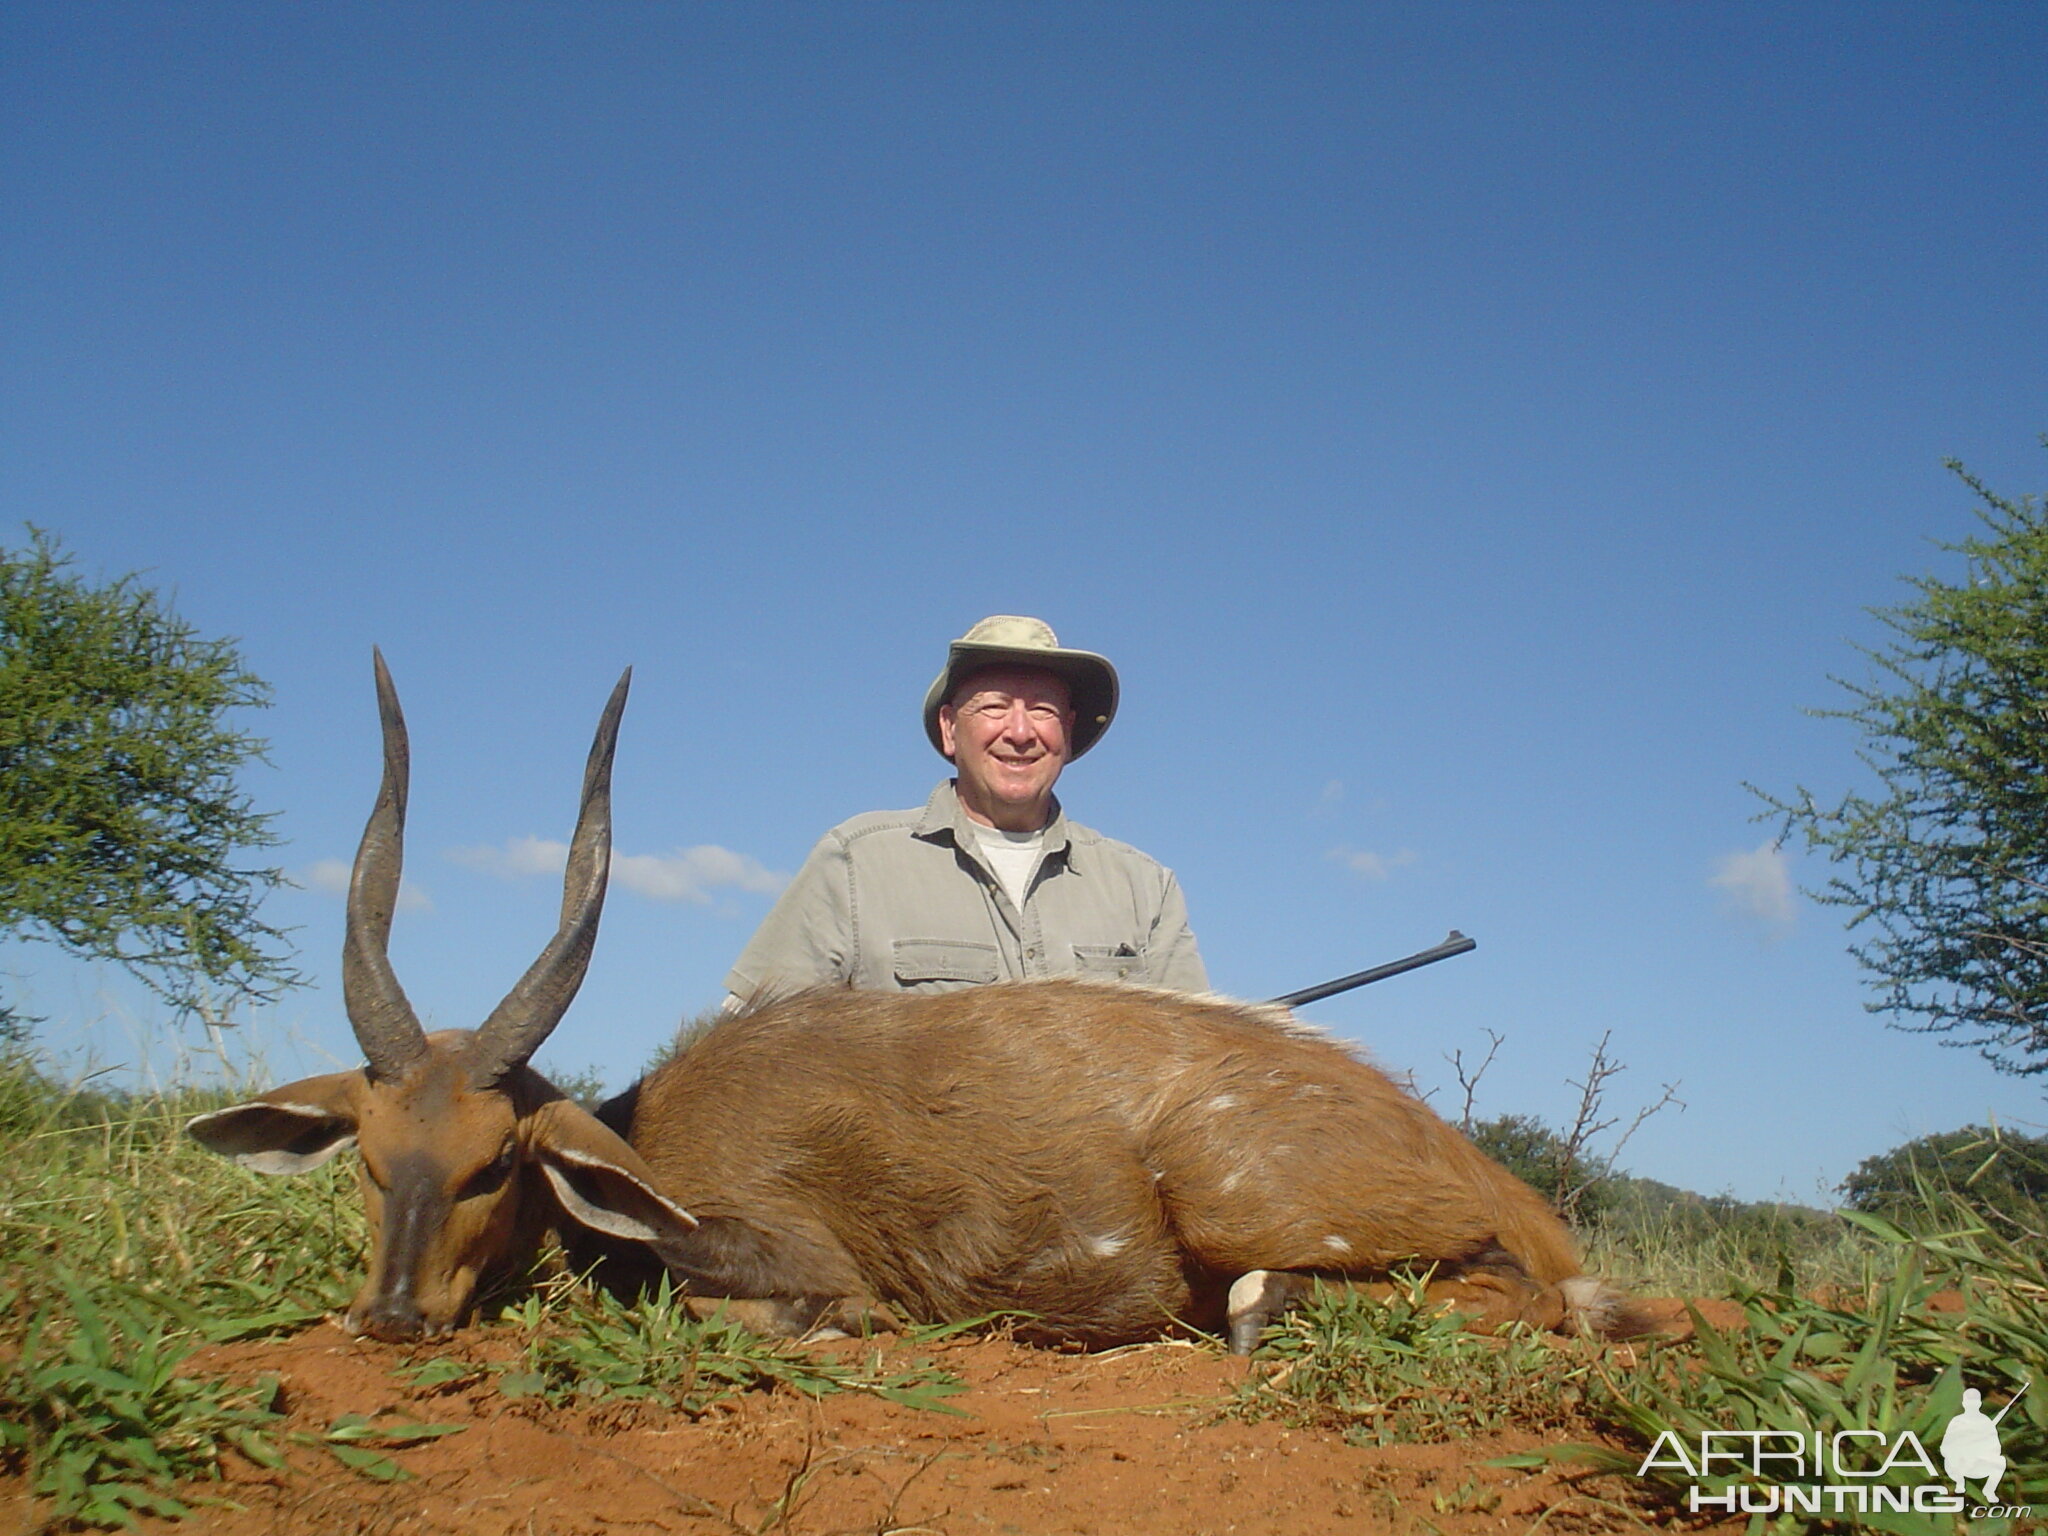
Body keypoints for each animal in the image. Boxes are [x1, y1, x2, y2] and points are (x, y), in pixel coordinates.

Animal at [188, 655, 1630, 1351]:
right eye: (372, 1162)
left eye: (495, 1164)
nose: (389, 1316)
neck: (654, 1132)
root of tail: (1471, 1163)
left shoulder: (787, 1256)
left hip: (1248, 1197)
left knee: (1525, 1291)